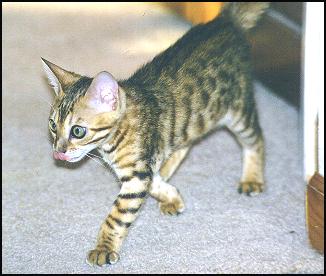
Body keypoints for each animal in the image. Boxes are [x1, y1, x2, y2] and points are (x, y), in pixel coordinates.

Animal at [42, 1, 268, 266]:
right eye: (53, 125)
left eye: (78, 131)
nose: (58, 152)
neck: (115, 139)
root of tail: (225, 21)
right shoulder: (143, 168)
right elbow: (154, 182)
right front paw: (172, 195)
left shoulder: (138, 174)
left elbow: (117, 215)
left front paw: (103, 248)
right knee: (184, 144)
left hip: (238, 111)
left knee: (256, 139)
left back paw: (252, 178)